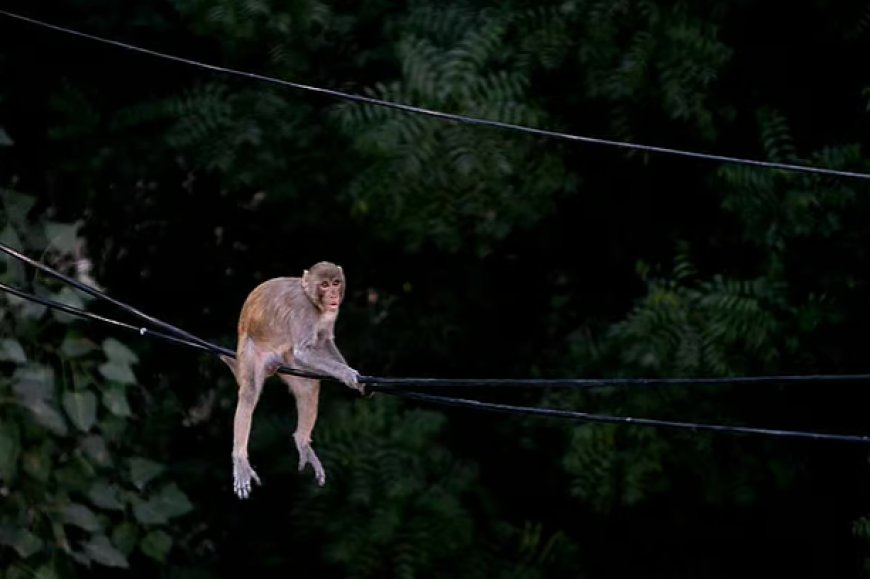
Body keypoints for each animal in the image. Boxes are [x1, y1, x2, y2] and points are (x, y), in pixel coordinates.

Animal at [223, 262, 366, 498]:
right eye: (324, 284)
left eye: (336, 282)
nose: (333, 294)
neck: (313, 301)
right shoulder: (304, 311)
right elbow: (304, 351)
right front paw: (347, 374)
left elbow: (324, 340)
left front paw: (358, 380)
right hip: (251, 353)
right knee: (249, 392)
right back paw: (240, 459)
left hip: (286, 358)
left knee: (308, 387)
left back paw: (302, 440)